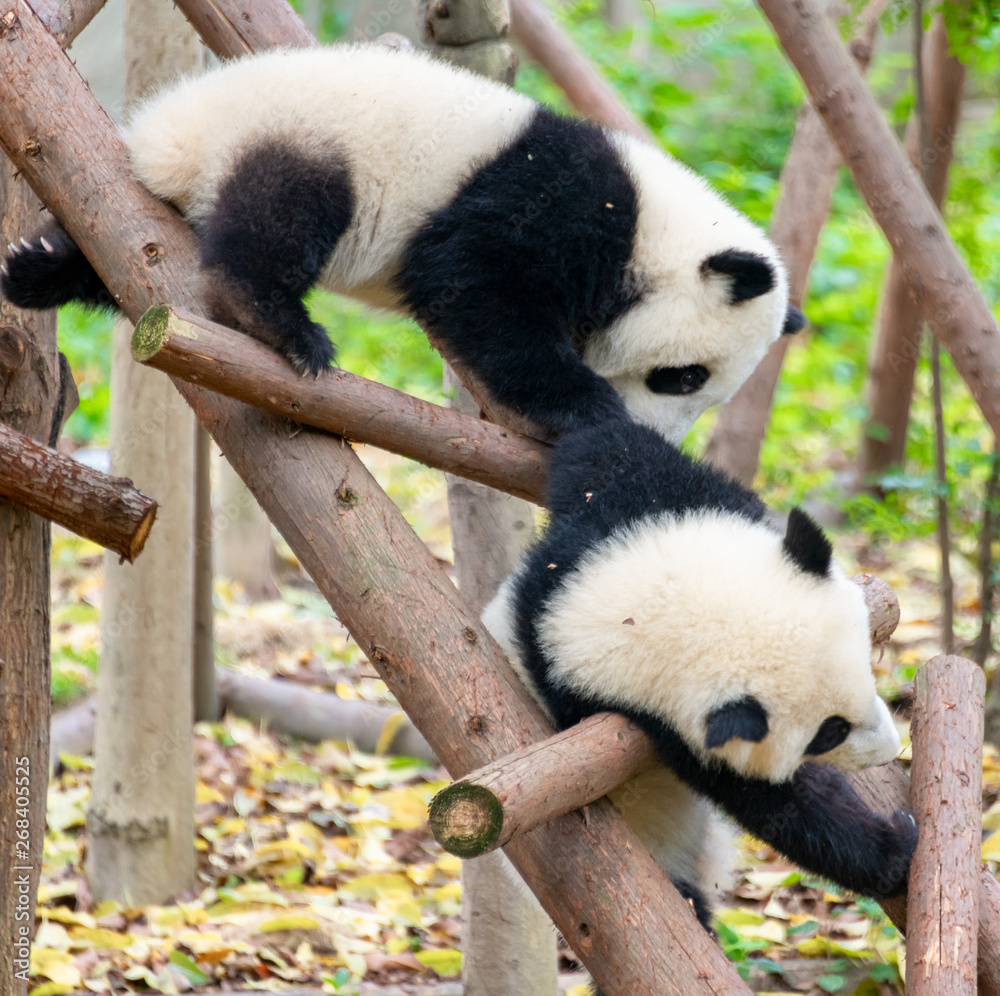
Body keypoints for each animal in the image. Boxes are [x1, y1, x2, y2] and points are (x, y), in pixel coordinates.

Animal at [0, 44, 804, 443]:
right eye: (685, 377)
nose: (656, 436)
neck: (650, 228)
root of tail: (164, 134)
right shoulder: (550, 203)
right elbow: (472, 284)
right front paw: (586, 408)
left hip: (163, 202)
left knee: (116, 254)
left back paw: (34, 271)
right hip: (299, 132)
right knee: (279, 217)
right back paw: (278, 322)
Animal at [481, 415, 917, 955]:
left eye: (865, 666)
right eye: (828, 732)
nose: (889, 749)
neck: (648, 604)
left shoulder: (634, 509)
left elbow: (602, 437)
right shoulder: (648, 717)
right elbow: (780, 805)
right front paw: (894, 846)